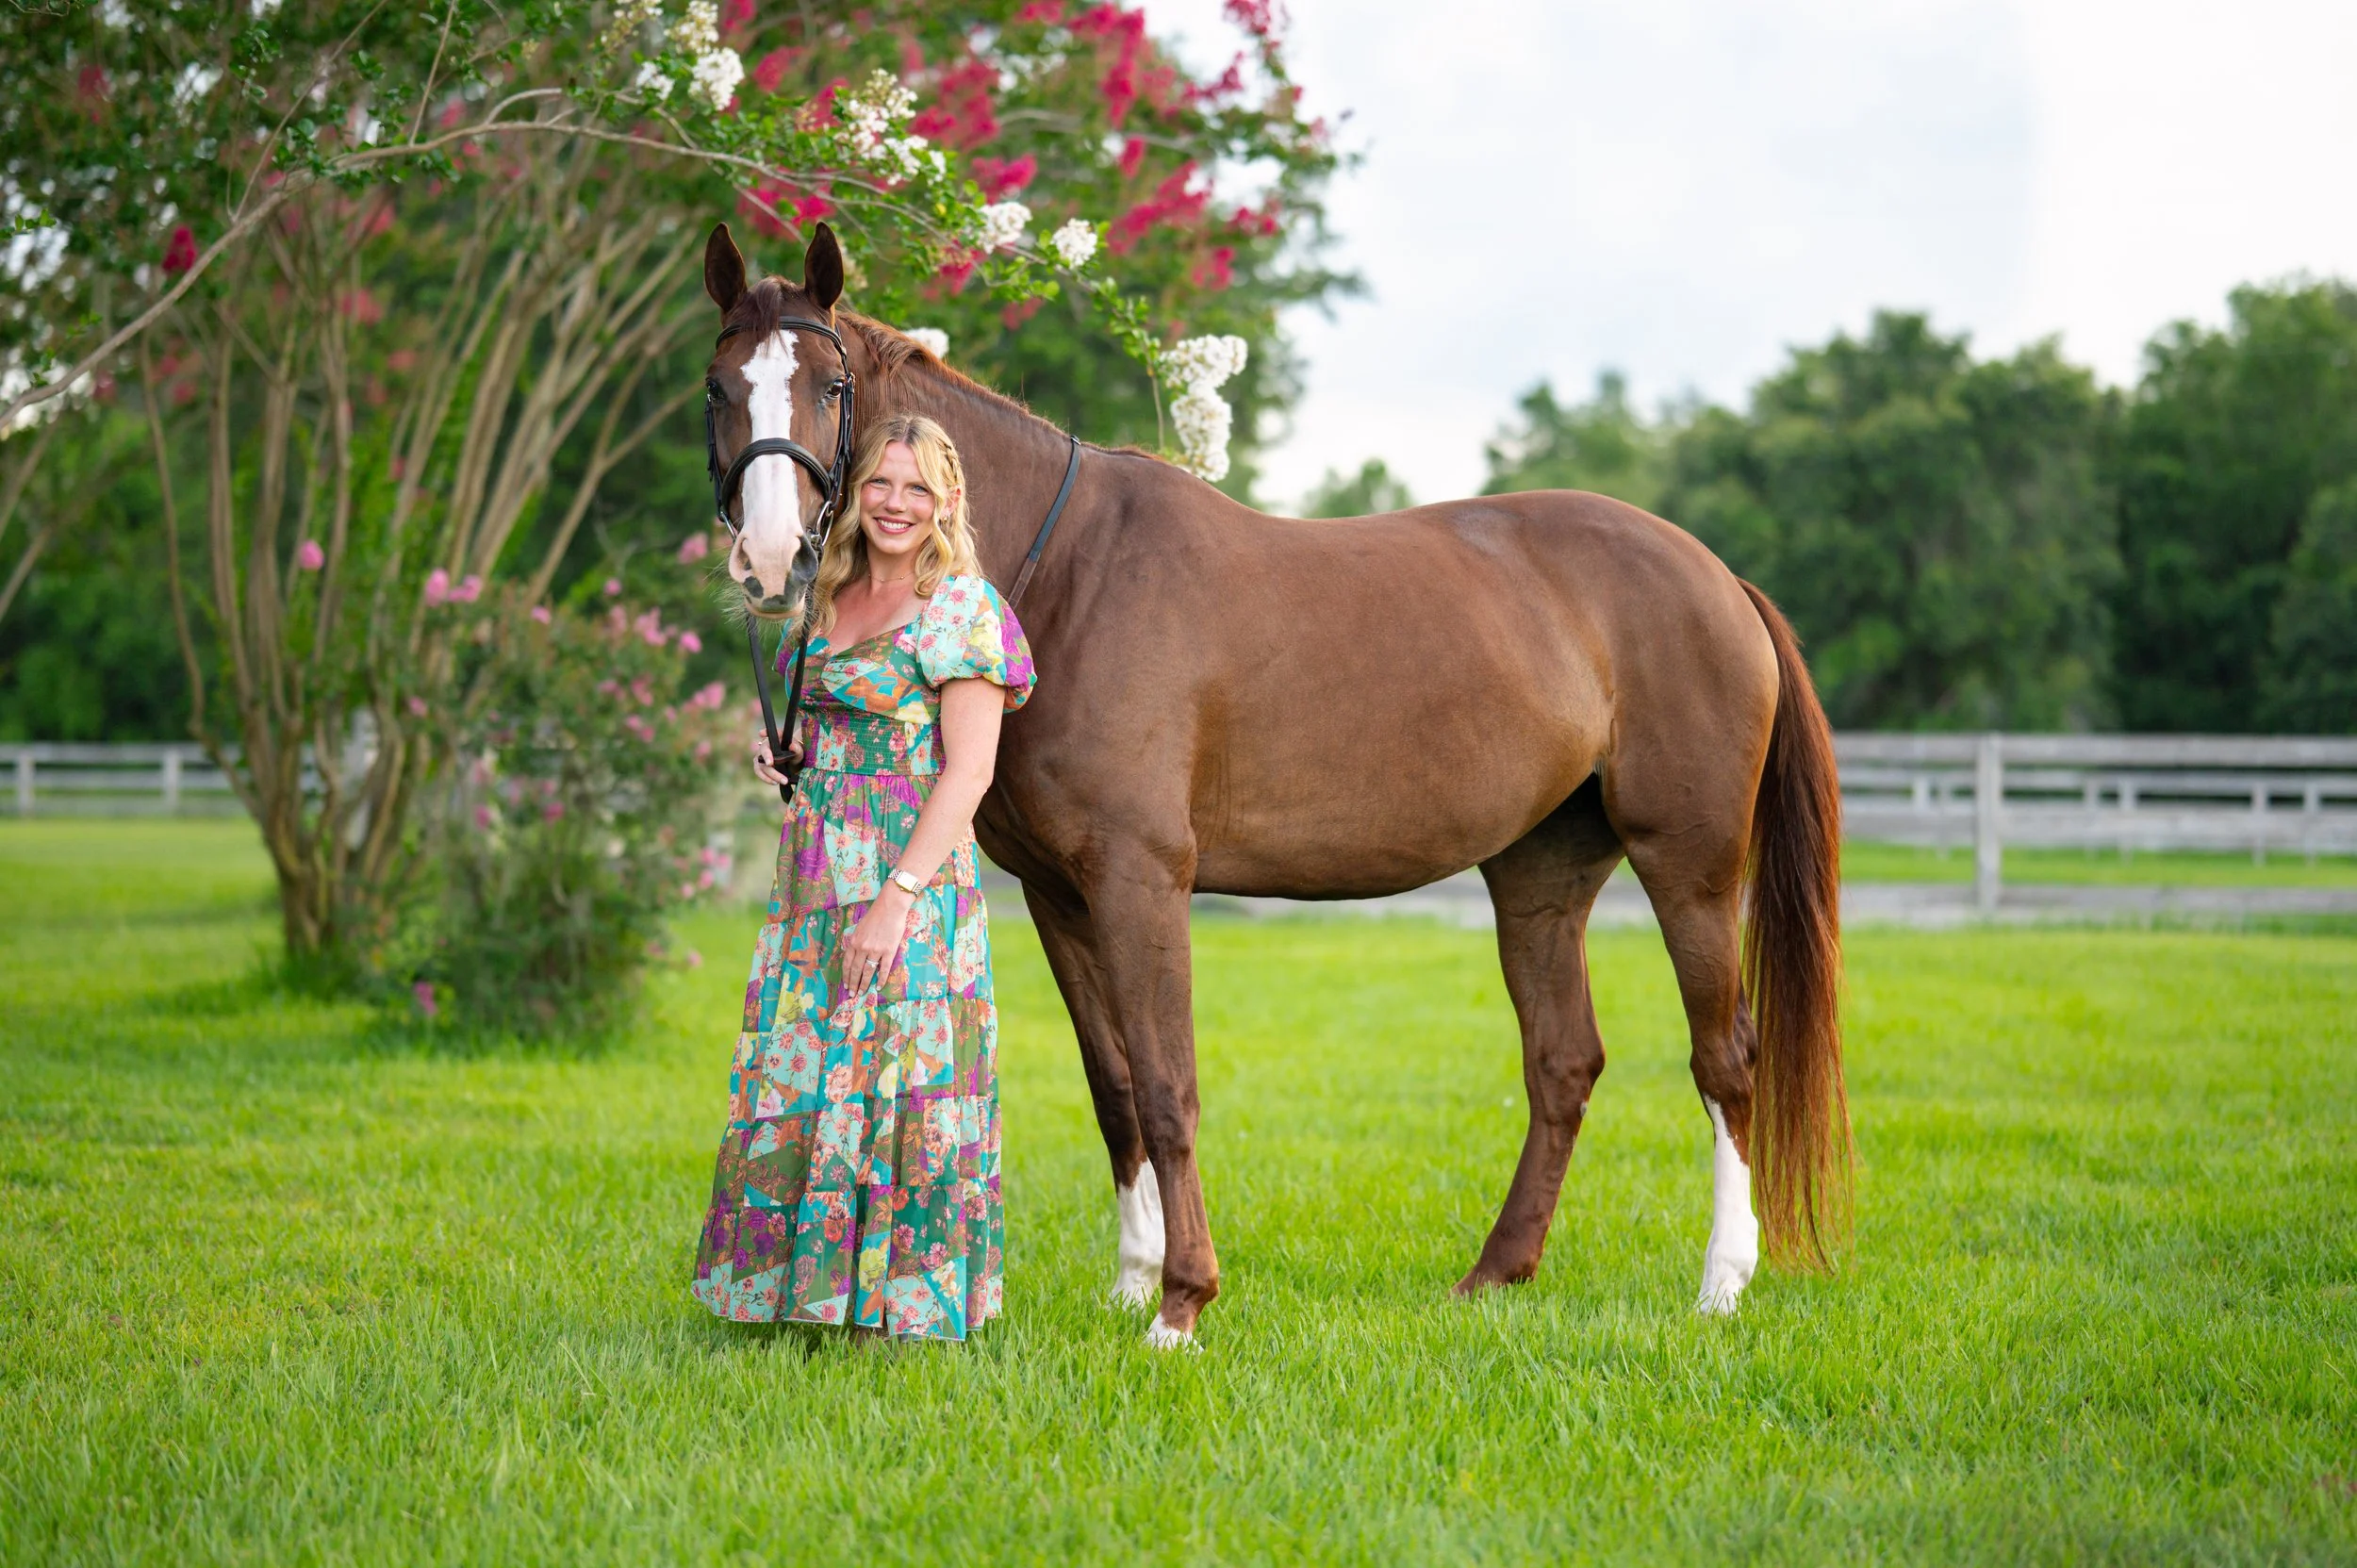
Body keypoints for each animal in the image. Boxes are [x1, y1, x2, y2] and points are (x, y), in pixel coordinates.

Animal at [700, 221, 1850, 1349]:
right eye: (718, 389)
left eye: (830, 387)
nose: (770, 560)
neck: (1067, 575)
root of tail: (1718, 577)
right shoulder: (1061, 895)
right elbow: (1115, 1086)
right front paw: (1131, 1284)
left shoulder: (1140, 881)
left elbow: (1169, 1085)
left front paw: (1181, 1304)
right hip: (1539, 874)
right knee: (1563, 1061)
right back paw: (1494, 1274)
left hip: (1690, 864)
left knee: (1725, 1059)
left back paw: (1721, 1283)